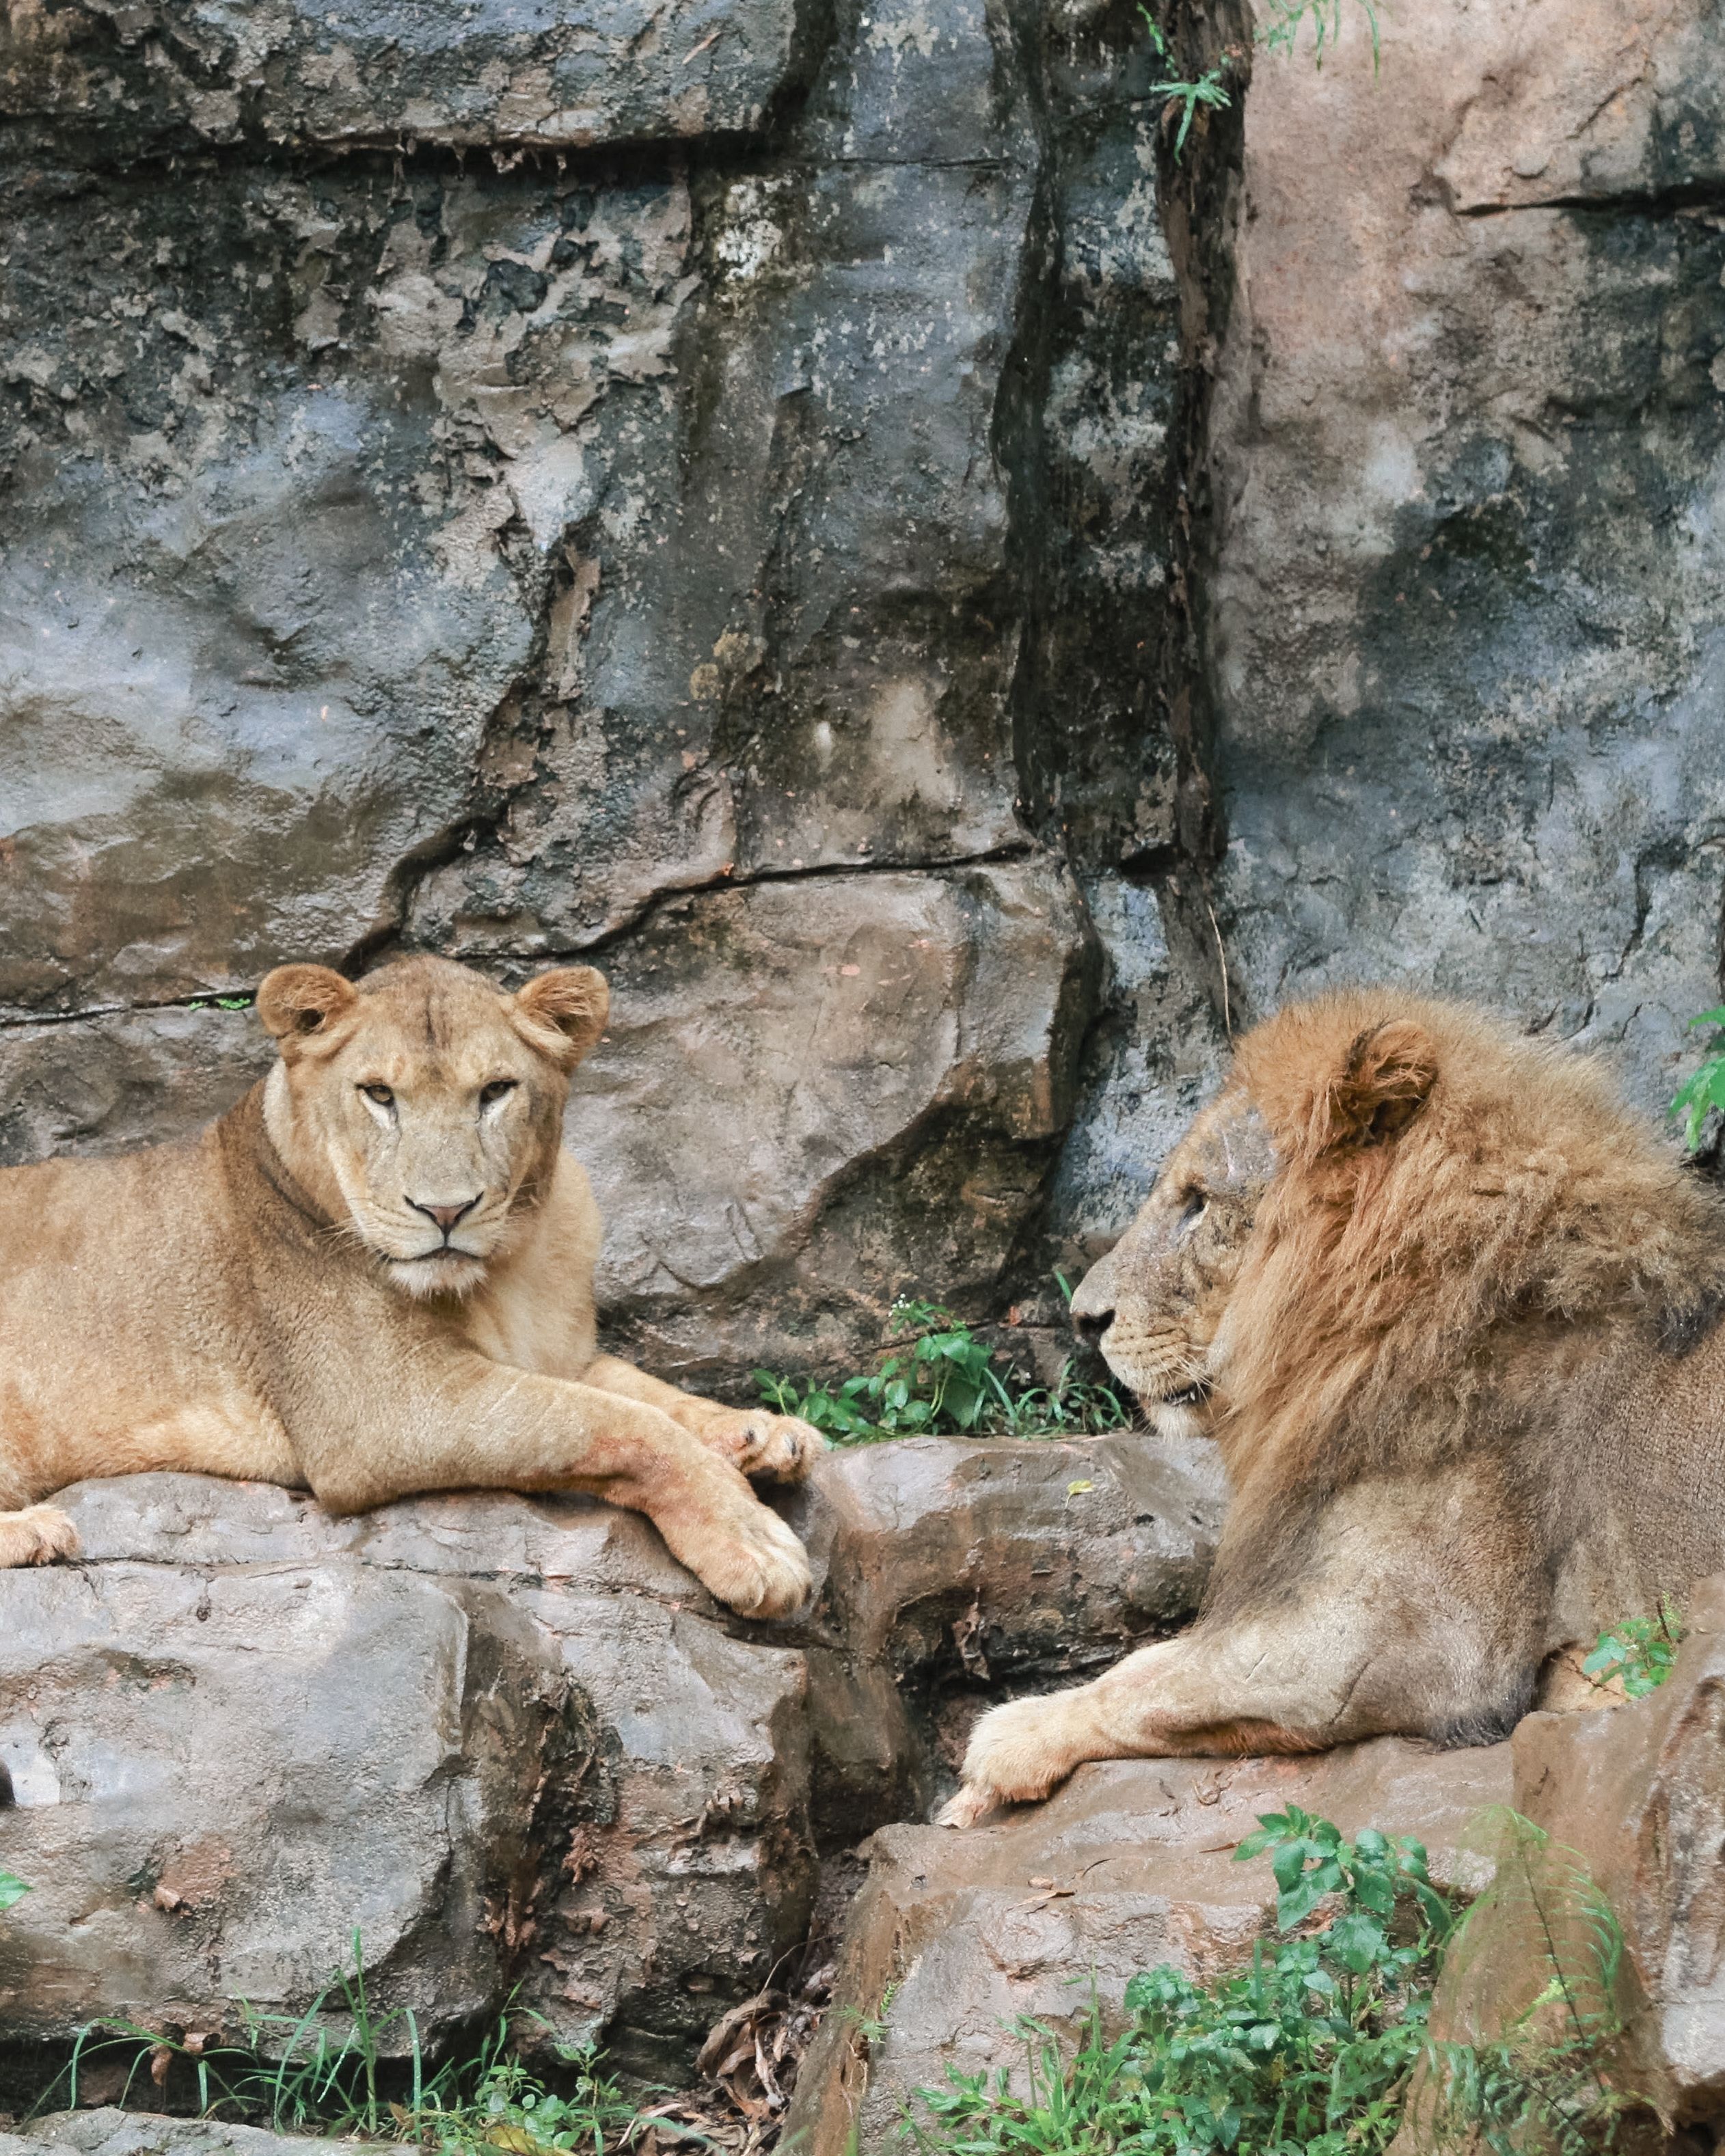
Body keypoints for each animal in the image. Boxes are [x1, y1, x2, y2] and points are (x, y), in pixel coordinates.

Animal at [0, 955, 822, 1617]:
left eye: (495, 1090)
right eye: (379, 1094)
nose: (445, 1210)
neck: (511, 1267)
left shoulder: (562, 1353)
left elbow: (645, 1393)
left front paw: (763, 1432)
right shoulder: (384, 1409)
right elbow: (620, 1424)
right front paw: (754, 1542)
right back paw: (35, 1529)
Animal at [942, 988, 1725, 1824]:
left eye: (1197, 1202)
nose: (1083, 1319)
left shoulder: (1414, 1643)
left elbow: (1155, 1680)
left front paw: (1005, 1742)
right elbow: (1153, 1659)